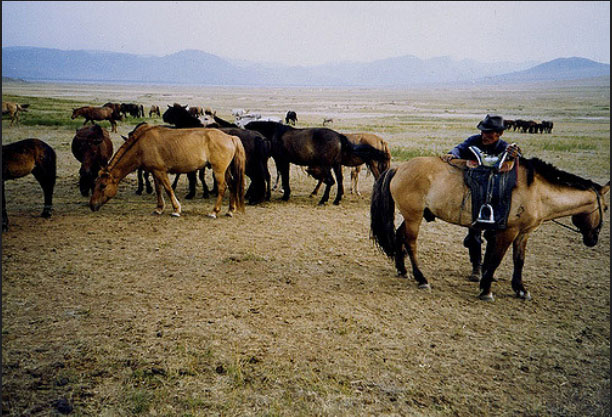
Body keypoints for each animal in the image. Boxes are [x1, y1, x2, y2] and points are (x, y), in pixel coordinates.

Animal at [89, 122, 246, 218]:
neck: (141, 145)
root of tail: (231, 137)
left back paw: (214, 212)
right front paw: (159, 208)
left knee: (222, 188)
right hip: (226, 171)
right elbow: (159, 189)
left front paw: (176, 210)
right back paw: (230, 210)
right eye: (95, 184)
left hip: (218, 170)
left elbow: (168, 189)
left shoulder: (160, 171)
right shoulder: (154, 171)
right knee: (232, 185)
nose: (92, 205)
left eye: (103, 185)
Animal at [244, 120, 388, 205]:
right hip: (335, 165)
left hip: (328, 165)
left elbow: (284, 177)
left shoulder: (282, 161)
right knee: (338, 180)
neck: (276, 134)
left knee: (331, 181)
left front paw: (285, 195)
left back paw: (323, 199)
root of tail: (339, 136)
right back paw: (336, 200)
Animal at [370, 155, 608, 300]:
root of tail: (400, 168)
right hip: (414, 216)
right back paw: (421, 278)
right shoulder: (508, 231)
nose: (593, 239)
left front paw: (520, 289)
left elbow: (518, 260)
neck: (537, 191)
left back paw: (402, 270)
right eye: (606, 207)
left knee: (398, 236)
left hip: (412, 215)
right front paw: (486, 289)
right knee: (410, 242)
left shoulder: (523, 233)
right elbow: (495, 259)